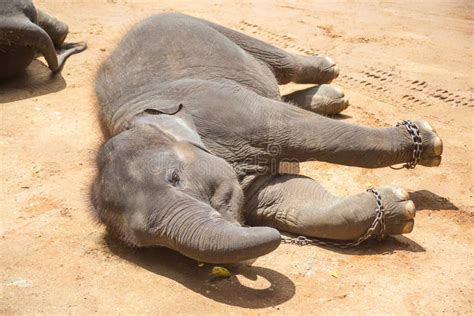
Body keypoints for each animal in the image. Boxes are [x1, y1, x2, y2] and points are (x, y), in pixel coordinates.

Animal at [92, 12, 444, 264]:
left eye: (175, 178)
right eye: (150, 241)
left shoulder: (225, 108)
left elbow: (306, 132)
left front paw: (427, 141)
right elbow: (292, 199)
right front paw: (400, 207)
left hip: (212, 28)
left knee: (282, 65)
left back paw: (328, 70)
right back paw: (333, 97)